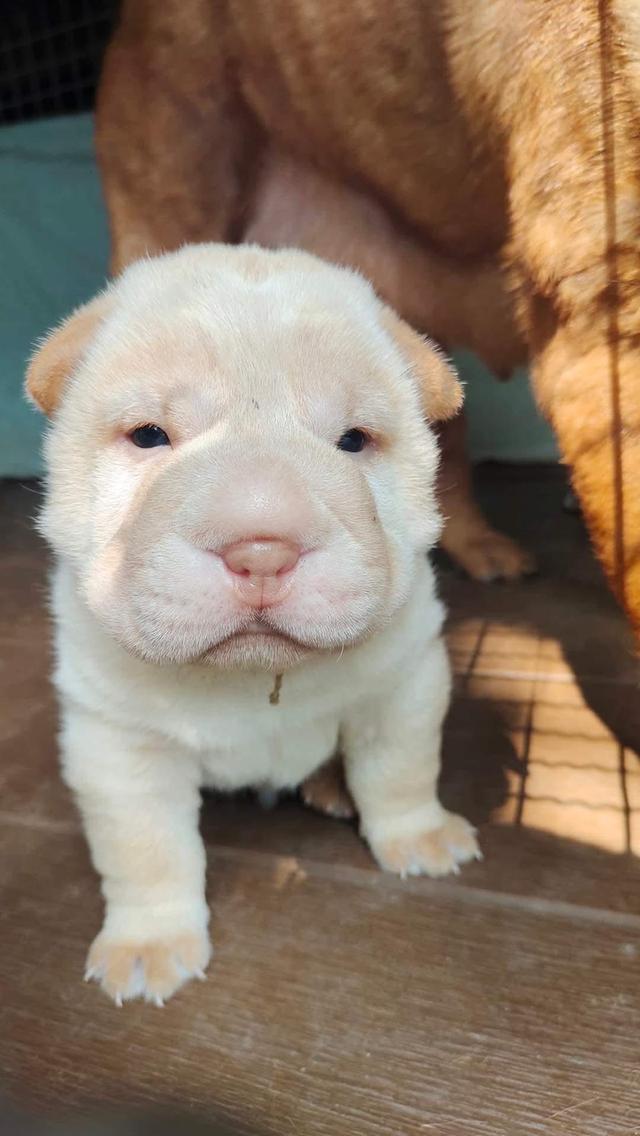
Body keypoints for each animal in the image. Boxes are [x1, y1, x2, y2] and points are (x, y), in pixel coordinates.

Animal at [28, 241, 481, 1004]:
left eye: (353, 441)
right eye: (150, 436)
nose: (262, 551)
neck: (252, 677)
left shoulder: (404, 682)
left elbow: (402, 768)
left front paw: (417, 836)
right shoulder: (120, 741)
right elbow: (147, 848)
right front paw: (150, 944)